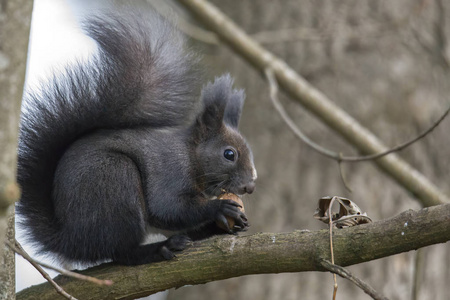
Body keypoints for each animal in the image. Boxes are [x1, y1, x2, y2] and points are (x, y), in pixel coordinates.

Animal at [16, 8, 256, 264]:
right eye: (229, 154)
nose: (250, 186)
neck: (190, 154)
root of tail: (70, 239)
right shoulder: (169, 170)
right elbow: (168, 207)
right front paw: (218, 209)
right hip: (115, 181)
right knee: (121, 251)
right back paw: (159, 248)